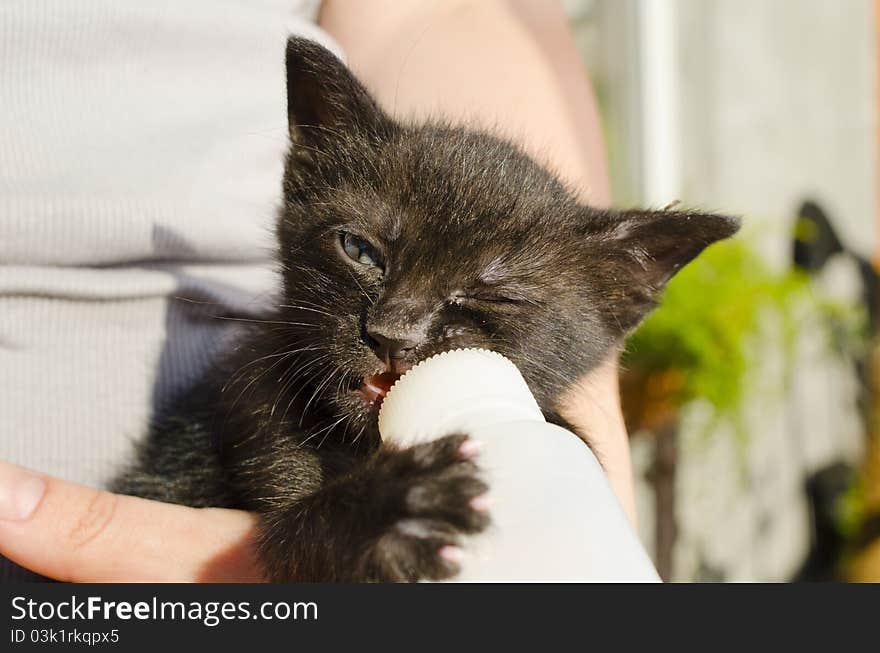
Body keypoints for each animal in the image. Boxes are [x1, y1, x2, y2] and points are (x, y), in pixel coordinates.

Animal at [111, 39, 744, 580]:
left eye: (495, 296)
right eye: (360, 250)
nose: (393, 335)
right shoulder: (258, 414)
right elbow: (294, 538)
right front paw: (395, 508)